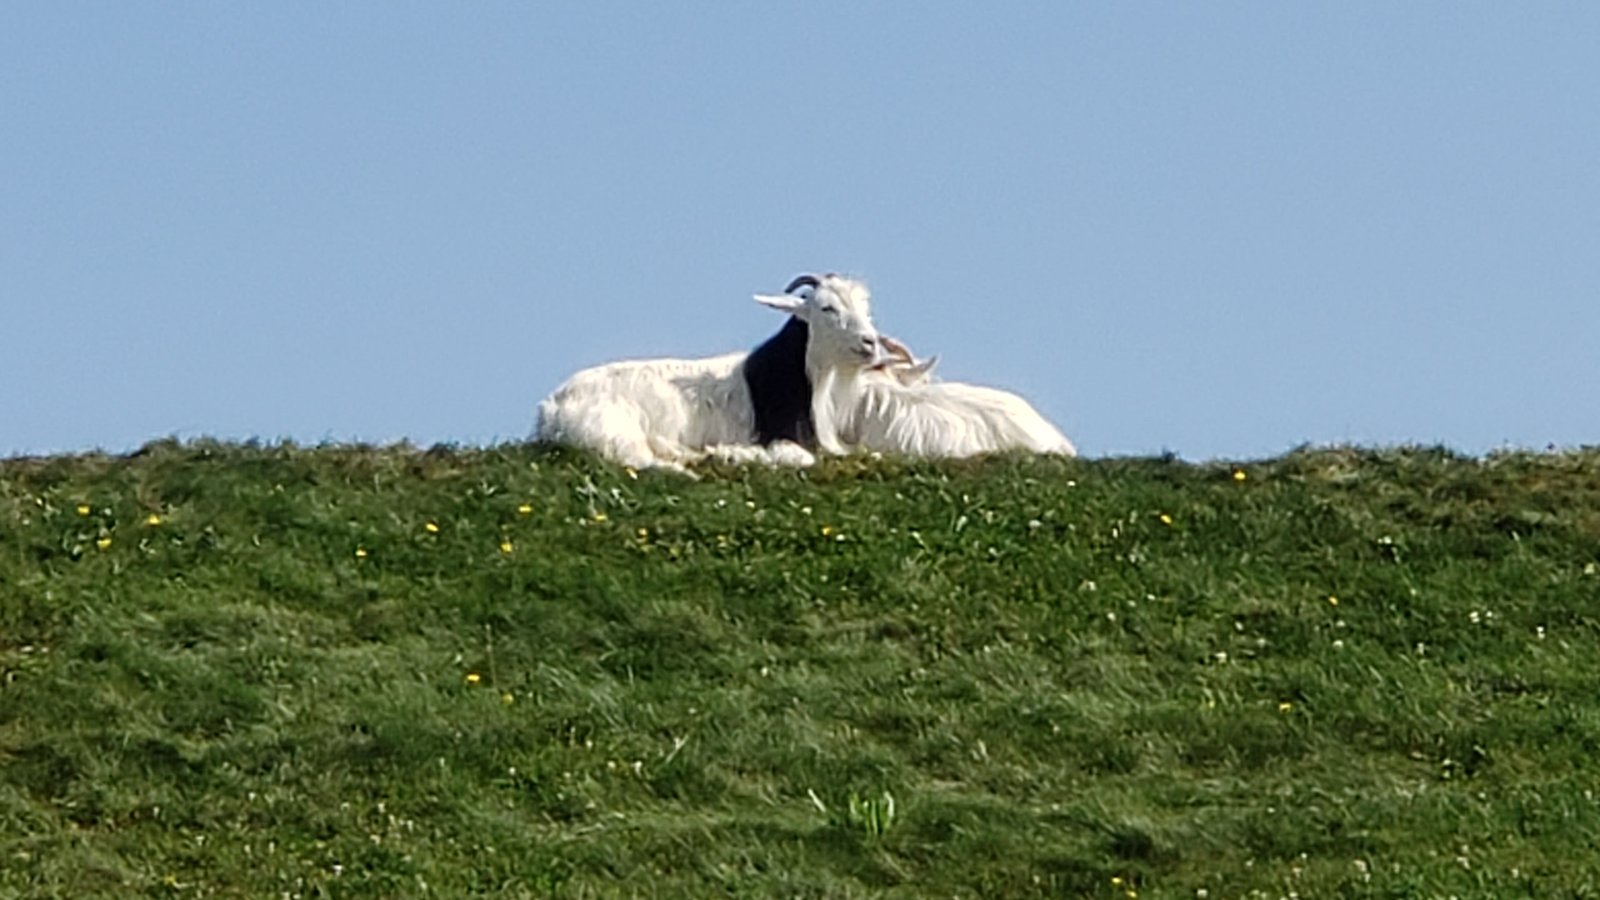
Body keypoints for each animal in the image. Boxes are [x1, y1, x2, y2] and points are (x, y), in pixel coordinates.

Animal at [534, 269, 889, 474]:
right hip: (613, 429)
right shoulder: (782, 439)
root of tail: (549, 408)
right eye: (827, 308)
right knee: (639, 461)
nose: (870, 342)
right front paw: (737, 454)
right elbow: (803, 459)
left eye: (866, 308)